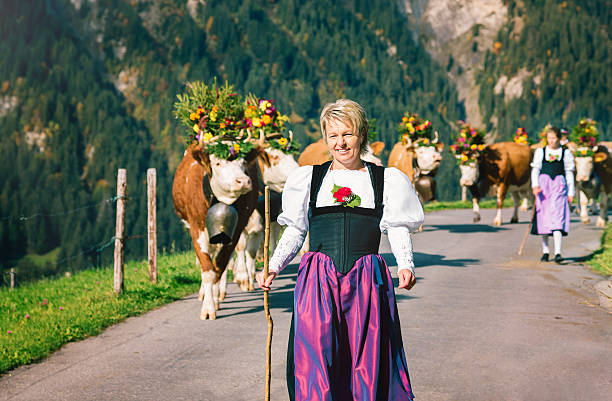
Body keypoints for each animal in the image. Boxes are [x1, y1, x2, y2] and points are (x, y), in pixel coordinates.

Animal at [172, 144, 268, 318]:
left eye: (243, 162)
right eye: (217, 163)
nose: (243, 181)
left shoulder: (236, 230)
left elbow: (220, 266)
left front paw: (213, 301)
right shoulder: (196, 229)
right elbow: (207, 269)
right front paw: (207, 308)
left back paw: (219, 293)